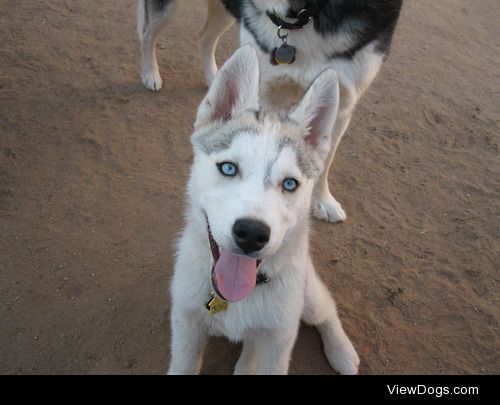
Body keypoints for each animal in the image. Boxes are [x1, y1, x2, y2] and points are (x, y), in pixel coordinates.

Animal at [139, 0, 404, 223]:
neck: (312, 13)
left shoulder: (344, 101)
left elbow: (324, 160)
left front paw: (322, 201)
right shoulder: (266, 90)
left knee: (204, 37)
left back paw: (213, 78)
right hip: (168, 10)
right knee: (147, 33)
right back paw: (150, 73)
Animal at [168, 45, 360, 374]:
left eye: (290, 184)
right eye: (228, 168)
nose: (251, 233)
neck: (235, 297)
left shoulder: (279, 340)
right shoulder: (186, 324)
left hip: (307, 298)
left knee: (327, 309)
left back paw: (342, 352)